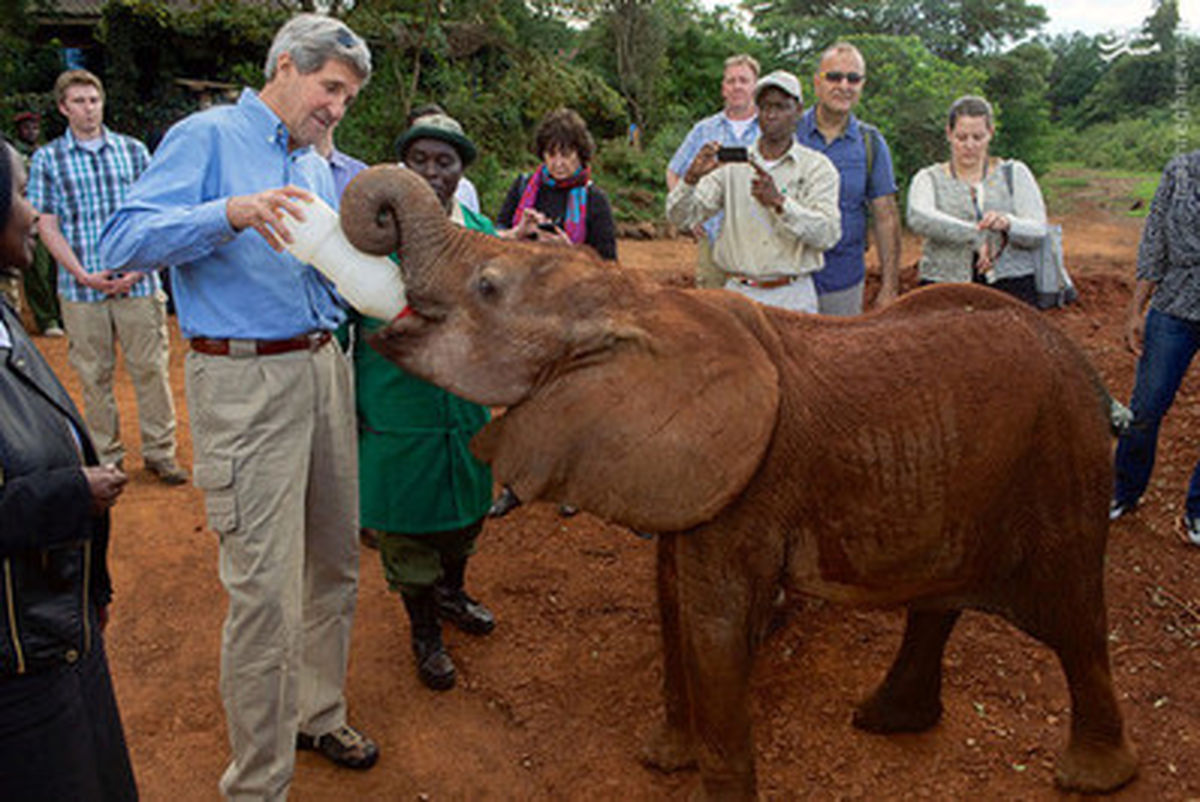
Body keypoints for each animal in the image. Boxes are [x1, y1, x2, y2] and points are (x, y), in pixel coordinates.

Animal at [338, 165, 1132, 797]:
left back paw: (1092, 777)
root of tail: (1087, 371)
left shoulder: (754, 482)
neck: (637, 303)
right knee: (943, 601)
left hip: (1062, 461)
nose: (376, 225)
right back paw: (886, 719)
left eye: (488, 287)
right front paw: (664, 760)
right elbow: (671, 602)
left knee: (1073, 616)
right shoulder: (684, 471)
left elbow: (712, 624)